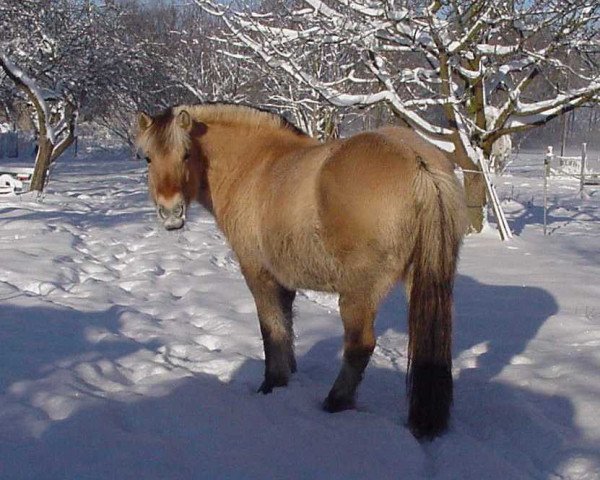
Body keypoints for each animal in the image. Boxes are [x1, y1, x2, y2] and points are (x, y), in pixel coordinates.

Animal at [137, 104, 468, 438]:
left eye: (186, 154)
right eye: (148, 157)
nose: (171, 213)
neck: (253, 167)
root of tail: (417, 161)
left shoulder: (259, 275)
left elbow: (272, 331)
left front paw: (272, 384)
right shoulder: (285, 282)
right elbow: (286, 329)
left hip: (358, 294)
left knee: (360, 346)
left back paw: (334, 402)